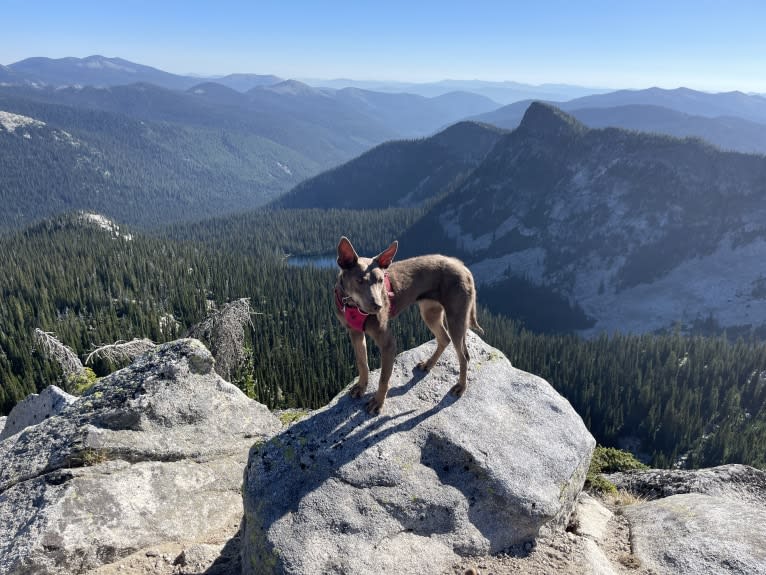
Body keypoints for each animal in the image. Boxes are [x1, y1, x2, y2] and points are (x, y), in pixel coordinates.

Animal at [332, 235, 484, 414]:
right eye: (359, 280)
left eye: (381, 280)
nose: (379, 306)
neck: (352, 306)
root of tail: (463, 267)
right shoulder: (355, 332)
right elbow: (362, 363)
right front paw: (361, 387)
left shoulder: (388, 343)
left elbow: (384, 378)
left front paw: (378, 402)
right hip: (430, 312)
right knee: (444, 338)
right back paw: (428, 364)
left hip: (456, 318)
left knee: (464, 356)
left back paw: (461, 386)